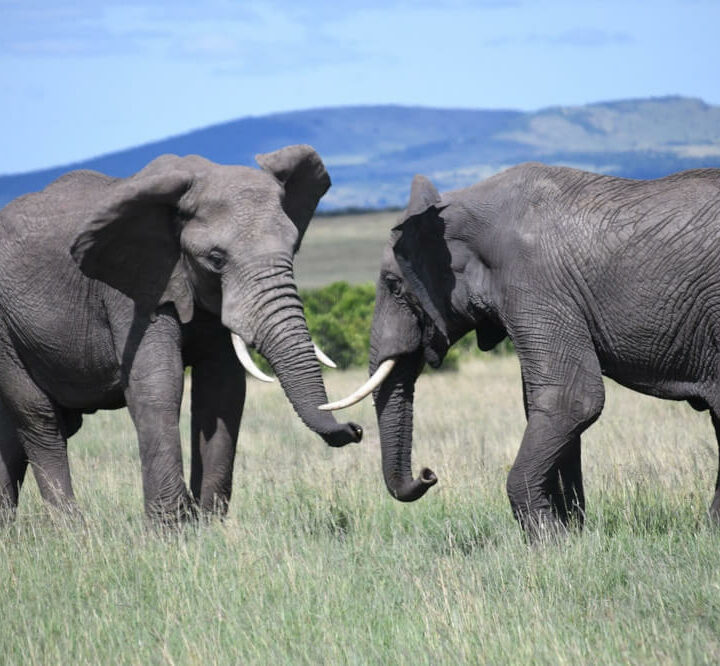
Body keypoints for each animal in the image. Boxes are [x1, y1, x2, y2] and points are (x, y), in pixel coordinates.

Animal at [0, 143, 362, 520]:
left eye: (293, 249)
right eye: (216, 259)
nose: (356, 429)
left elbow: (222, 390)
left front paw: (209, 524)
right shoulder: (134, 289)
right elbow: (158, 384)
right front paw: (172, 526)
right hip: (7, 329)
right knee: (40, 420)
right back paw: (72, 528)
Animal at [324, 163, 720, 536]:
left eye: (393, 285)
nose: (428, 474)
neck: (460, 207)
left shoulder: (533, 281)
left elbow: (571, 399)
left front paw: (550, 541)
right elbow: (543, 405)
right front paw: (572, 534)